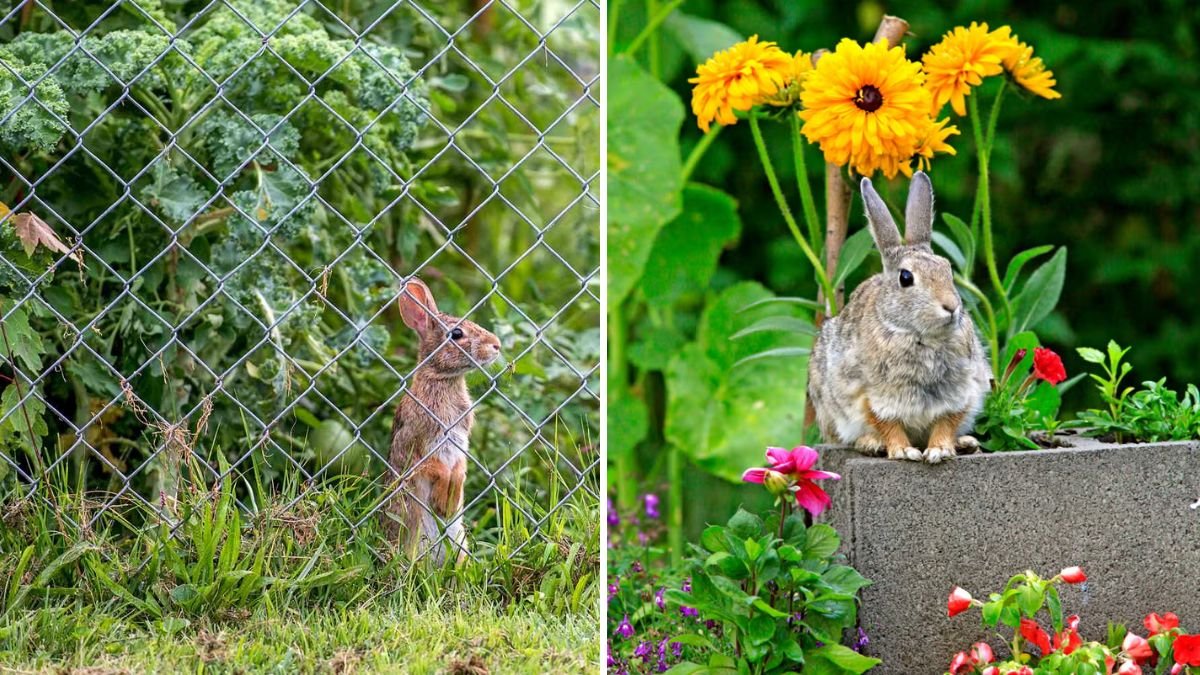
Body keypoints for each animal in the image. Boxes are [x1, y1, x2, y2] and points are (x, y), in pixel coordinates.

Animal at [381, 277, 502, 563]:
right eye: (456, 334)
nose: (497, 345)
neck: (444, 379)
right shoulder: (414, 442)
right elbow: (434, 467)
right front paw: (441, 499)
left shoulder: (461, 441)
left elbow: (459, 469)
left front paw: (450, 501)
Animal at [807, 171, 990, 464]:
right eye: (906, 278)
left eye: (947, 269)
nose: (951, 307)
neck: (918, 336)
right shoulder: (870, 396)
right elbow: (887, 423)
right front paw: (904, 451)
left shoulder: (961, 393)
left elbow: (946, 422)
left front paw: (939, 450)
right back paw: (871, 444)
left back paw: (966, 443)